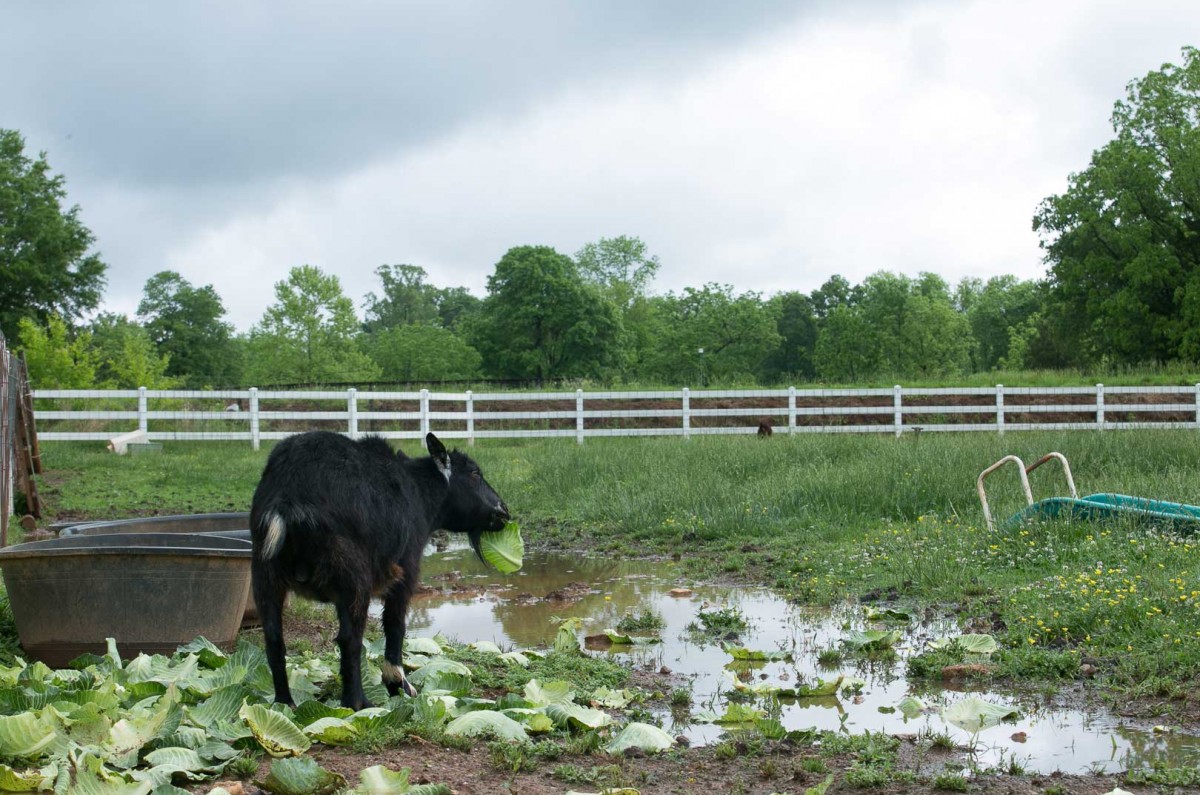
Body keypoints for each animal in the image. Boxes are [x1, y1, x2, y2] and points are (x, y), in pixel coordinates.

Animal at [249, 431, 510, 709]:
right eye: (474, 473)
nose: (503, 511)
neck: (419, 493)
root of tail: (289, 496)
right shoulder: (406, 570)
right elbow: (395, 625)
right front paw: (398, 684)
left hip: (264, 572)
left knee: (274, 638)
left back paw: (284, 702)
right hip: (354, 577)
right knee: (350, 639)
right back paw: (357, 702)